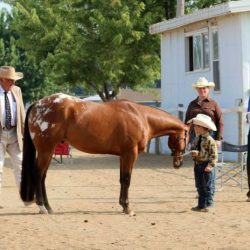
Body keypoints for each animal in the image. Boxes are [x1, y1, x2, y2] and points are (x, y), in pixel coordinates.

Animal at [21, 93, 189, 215]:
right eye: (186, 138)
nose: (178, 163)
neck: (141, 117)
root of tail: (37, 104)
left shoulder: (123, 155)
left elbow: (122, 179)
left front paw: (122, 204)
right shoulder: (130, 153)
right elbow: (127, 179)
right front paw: (127, 207)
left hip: (48, 151)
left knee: (43, 176)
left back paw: (48, 207)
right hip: (46, 150)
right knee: (38, 174)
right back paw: (42, 207)